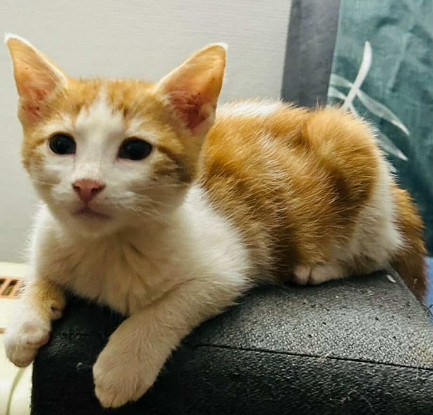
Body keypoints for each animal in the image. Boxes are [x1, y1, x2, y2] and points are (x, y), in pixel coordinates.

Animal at [3, 34, 426, 408]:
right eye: (61, 144)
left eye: (136, 150)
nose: (86, 185)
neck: (104, 244)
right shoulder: (49, 235)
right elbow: (38, 269)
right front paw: (25, 325)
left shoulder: (227, 266)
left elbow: (172, 306)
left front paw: (122, 365)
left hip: (360, 185)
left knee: (377, 255)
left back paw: (314, 268)